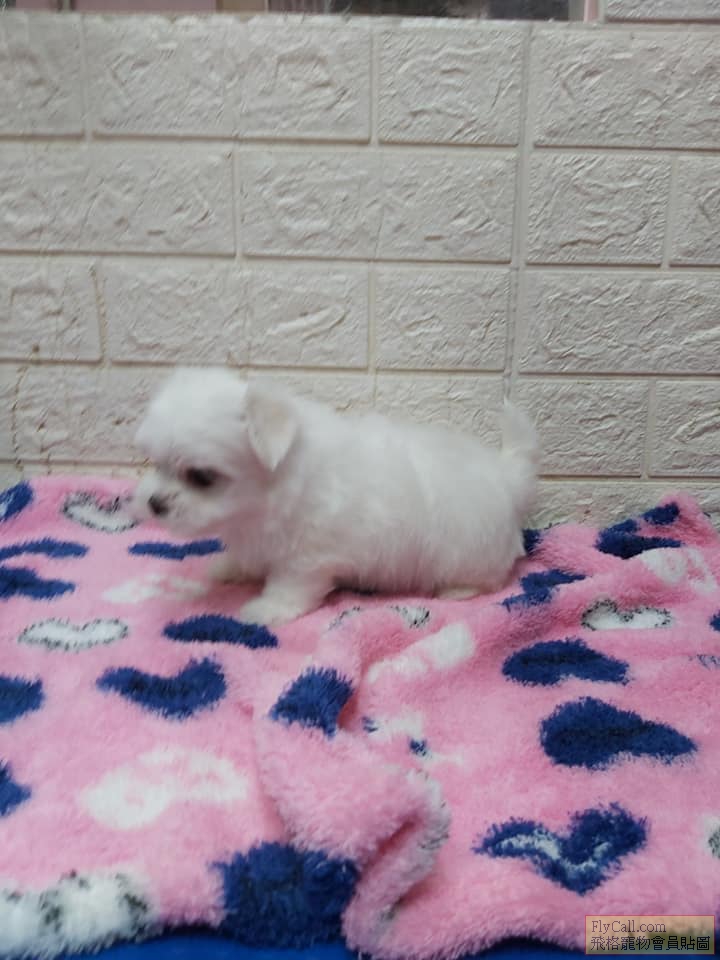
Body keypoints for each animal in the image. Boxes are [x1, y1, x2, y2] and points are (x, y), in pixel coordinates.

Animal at [132, 368, 539, 626]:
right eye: (154, 463)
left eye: (201, 477)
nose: (154, 504)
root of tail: (506, 475)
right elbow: (246, 558)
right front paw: (228, 568)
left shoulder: (308, 556)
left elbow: (290, 586)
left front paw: (266, 610)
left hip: (470, 550)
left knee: (489, 579)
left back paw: (455, 591)